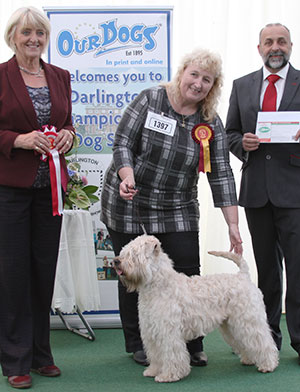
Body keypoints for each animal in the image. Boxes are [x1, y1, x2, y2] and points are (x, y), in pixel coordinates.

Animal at [114, 234, 278, 382]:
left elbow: (170, 354)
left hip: (248, 321)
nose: (116, 261)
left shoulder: (168, 332)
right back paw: (249, 359)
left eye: (134, 254)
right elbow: (156, 355)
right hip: (232, 325)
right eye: (124, 251)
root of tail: (243, 276)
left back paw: (268, 365)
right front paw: (153, 370)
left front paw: (169, 376)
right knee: (245, 342)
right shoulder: (151, 331)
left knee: (263, 341)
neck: (157, 285)